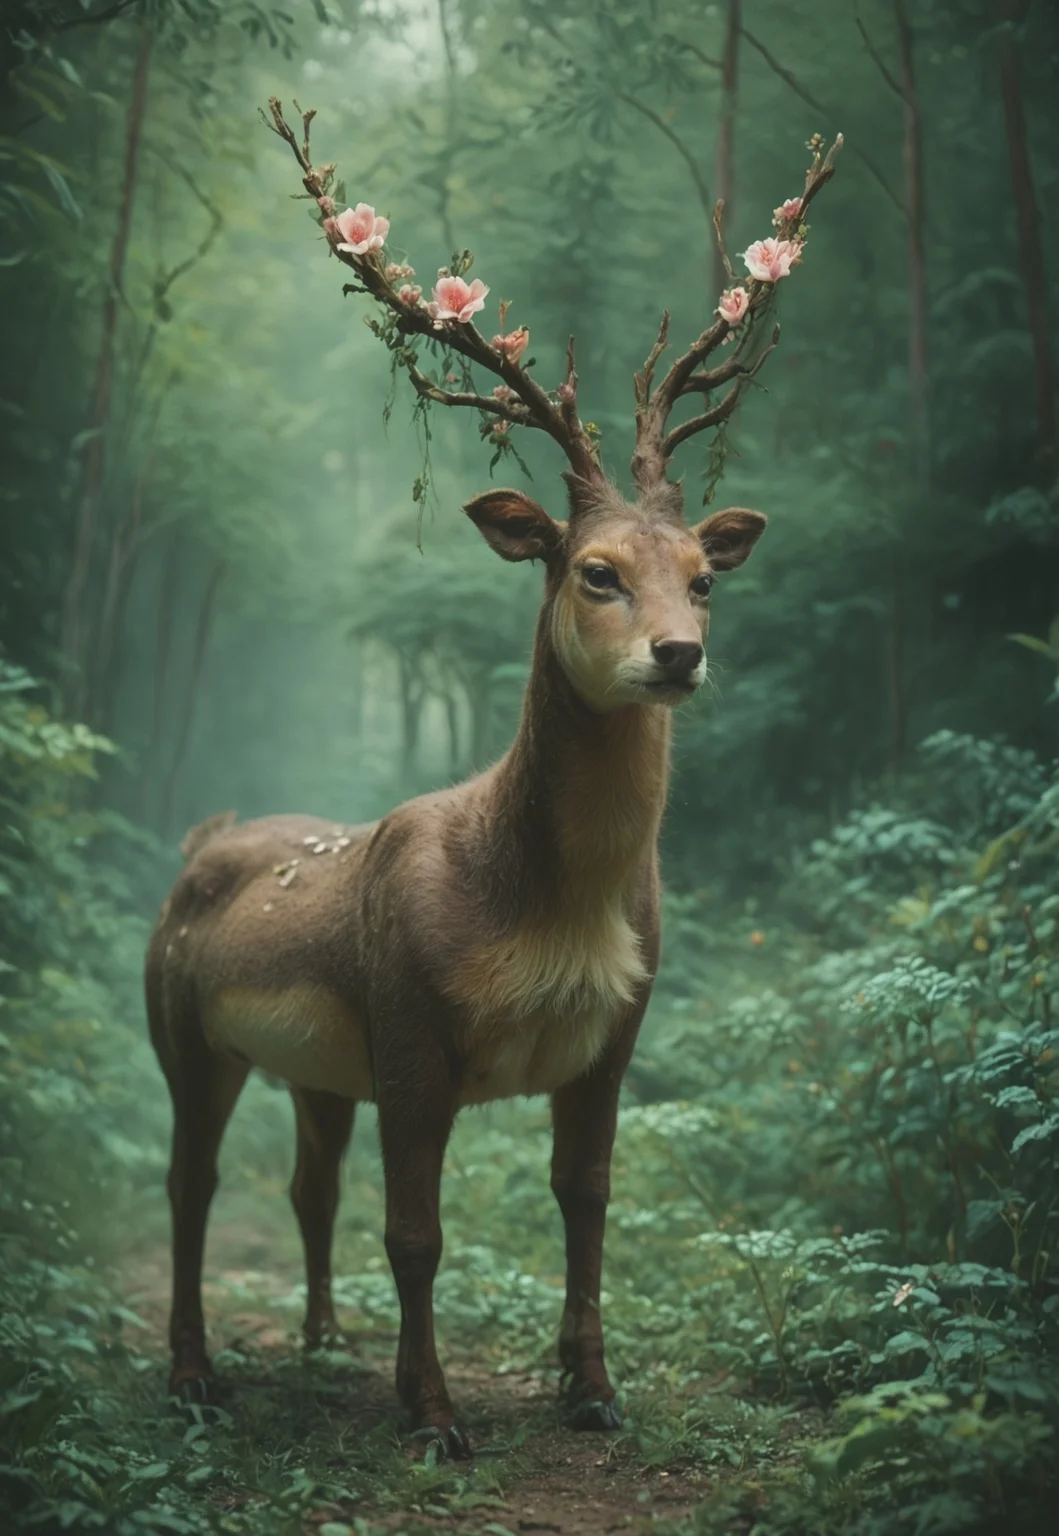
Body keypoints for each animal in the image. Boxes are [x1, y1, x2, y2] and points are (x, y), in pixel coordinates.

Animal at [145, 103, 839, 1459]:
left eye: (704, 577)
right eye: (595, 572)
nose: (679, 655)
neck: (543, 907)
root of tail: (205, 838)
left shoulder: (621, 1028)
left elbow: (588, 1200)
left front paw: (594, 1390)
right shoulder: (411, 1021)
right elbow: (417, 1234)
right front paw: (434, 1417)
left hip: (316, 1066)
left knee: (307, 1179)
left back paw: (321, 1339)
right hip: (178, 1022)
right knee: (190, 1182)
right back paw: (196, 1373)